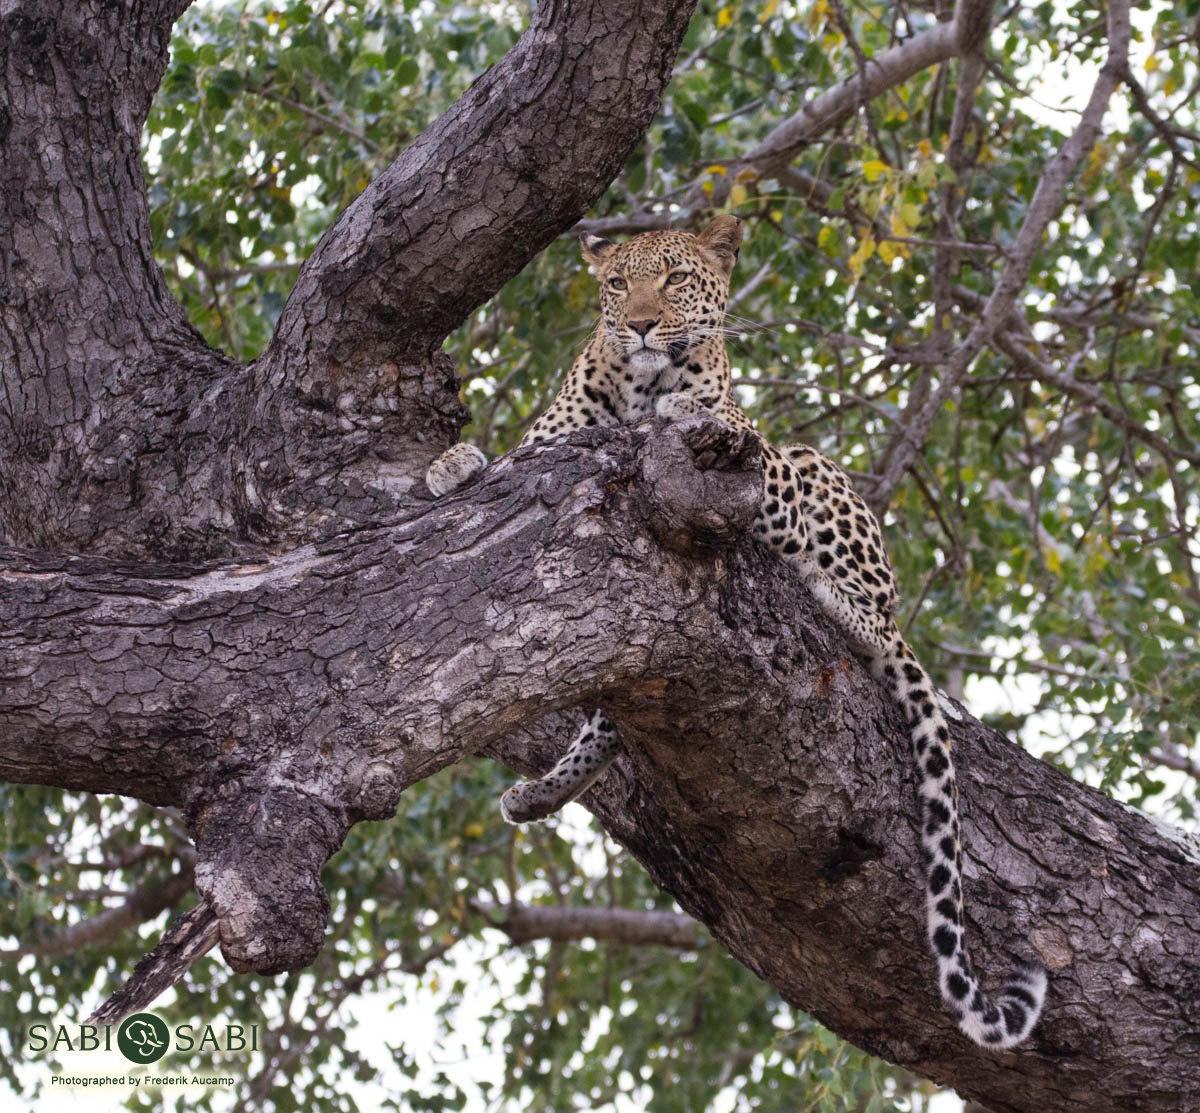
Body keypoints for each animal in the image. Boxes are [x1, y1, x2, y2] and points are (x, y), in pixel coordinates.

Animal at [426, 215, 1047, 1050]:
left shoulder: (751, 452)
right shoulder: (550, 445)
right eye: (616, 284)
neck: (643, 391)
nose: (640, 324)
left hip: (823, 488)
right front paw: (450, 462)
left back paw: (842, 600)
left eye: (677, 278)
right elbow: (512, 456)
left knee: (874, 615)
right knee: (608, 722)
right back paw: (542, 790)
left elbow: (732, 450)